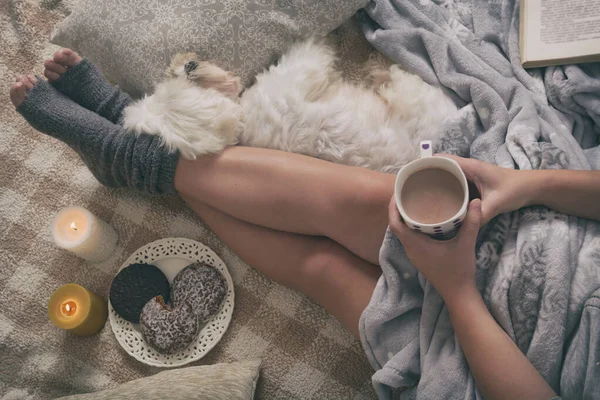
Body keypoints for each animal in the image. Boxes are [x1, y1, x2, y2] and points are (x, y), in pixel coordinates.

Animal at [124, 38, 458, 173]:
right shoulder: (302, 68)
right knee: (392, 76)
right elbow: (316, 48)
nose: (188, 63)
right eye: (188, 84)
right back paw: (376, 63)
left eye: (177, 76)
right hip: (411, 91)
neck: (242, 120)